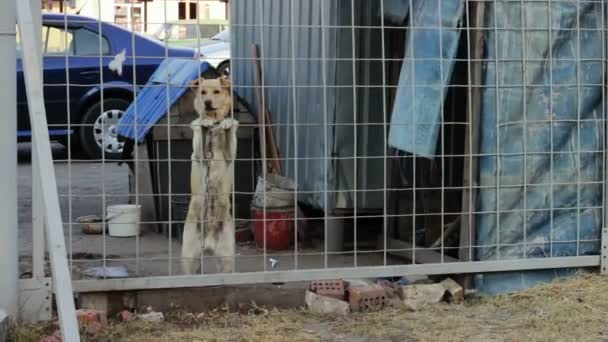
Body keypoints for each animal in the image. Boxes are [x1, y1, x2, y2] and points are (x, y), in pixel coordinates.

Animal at [180, 76, 238, 274]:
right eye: (203, 92)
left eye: (216, 92)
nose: (207, 102)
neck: (214, 127)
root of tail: (209, 244)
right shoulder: (199, 156)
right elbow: (201, 130)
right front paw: (204, 122)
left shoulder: (230, 156)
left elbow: (229, 130)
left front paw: (227, 123)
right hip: (189, 260)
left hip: (227, 261)